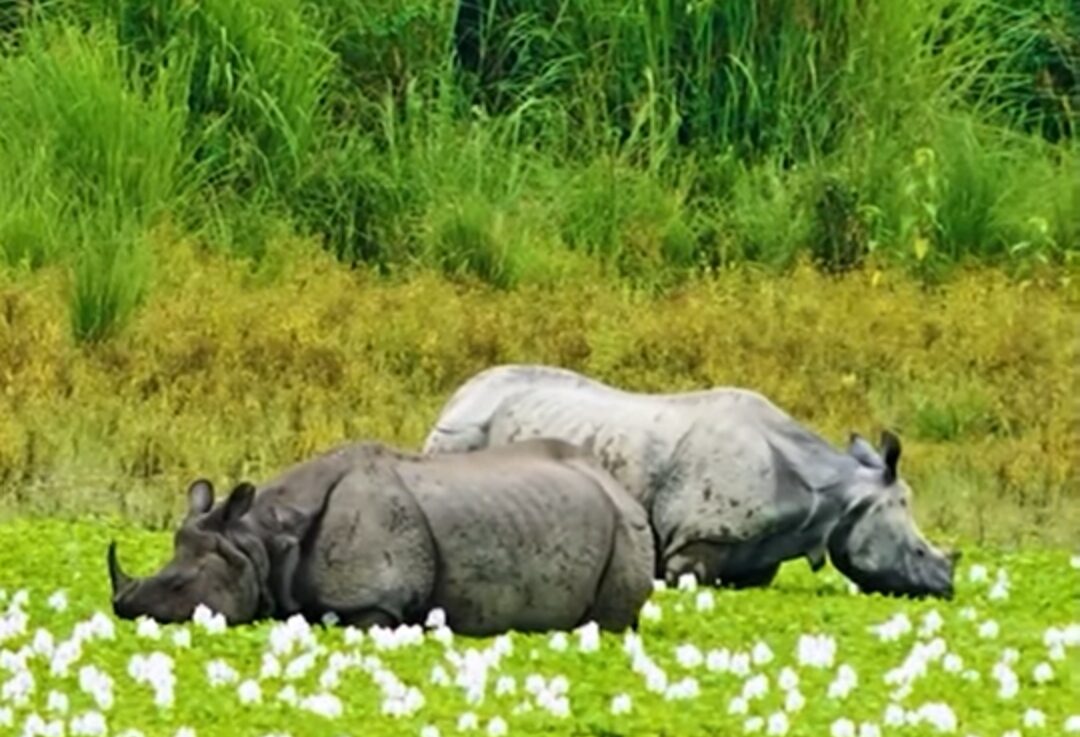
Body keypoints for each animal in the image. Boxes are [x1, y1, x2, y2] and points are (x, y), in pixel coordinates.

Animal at [106, 437, 655, 636]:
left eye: (180, 587)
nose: (123, 610)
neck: (262, 538)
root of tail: (620, 489)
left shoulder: (375, 603)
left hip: (627, 527)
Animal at [423, 364, 959, 599]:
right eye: (916, 551)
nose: (947, 588)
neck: (832, 496)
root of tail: (453, 400)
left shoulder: (759, 553)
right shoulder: (694, 543)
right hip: (462, 437)